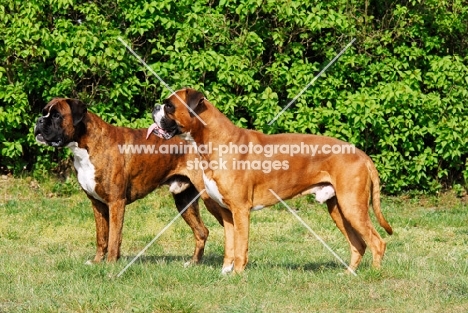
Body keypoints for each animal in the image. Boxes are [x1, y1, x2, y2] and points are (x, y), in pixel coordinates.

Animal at [33, 97, 224, 264]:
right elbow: (102, 237)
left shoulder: (116, 202)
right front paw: (97, 262)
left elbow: (113, 237)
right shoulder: (97, 203)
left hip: (212, 199)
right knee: (202, 231)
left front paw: (110, 264)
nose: (39, 120)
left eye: (57, 115)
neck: (87, 145)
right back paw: (193, 263)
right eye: (44, 112)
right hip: (184, 201)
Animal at [148, 87, 394, 272]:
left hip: (352, 206)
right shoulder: (227, 213)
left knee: (377, 242)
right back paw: (348, 274)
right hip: (339, 210)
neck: (216, 140)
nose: (155, 106)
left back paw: (373, 275)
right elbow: (230, 246)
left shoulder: (240, 210)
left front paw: (237, 275)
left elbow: (241, 246)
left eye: (169, 106)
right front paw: (225, 273)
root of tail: (361, 154)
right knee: (358, 244)